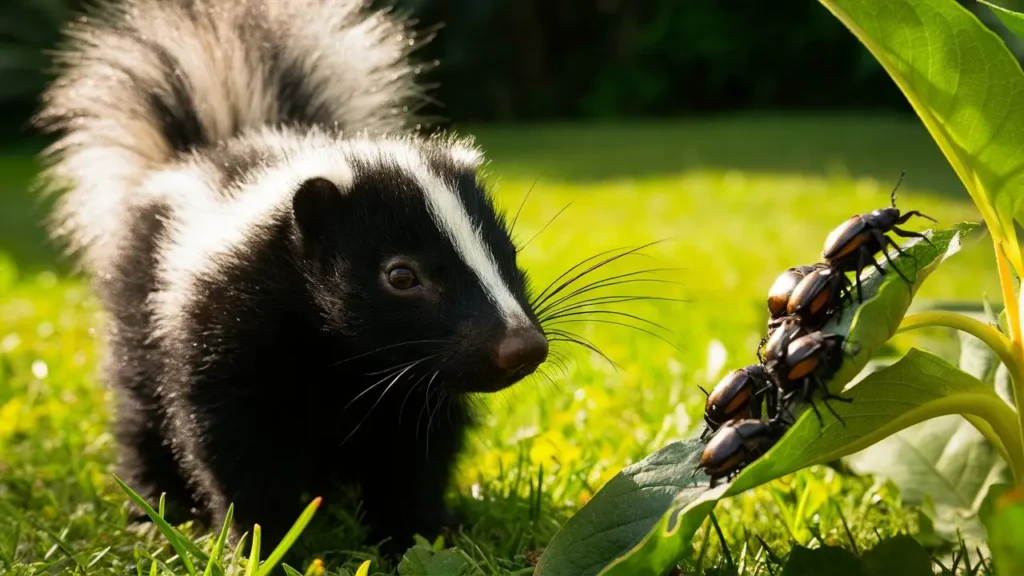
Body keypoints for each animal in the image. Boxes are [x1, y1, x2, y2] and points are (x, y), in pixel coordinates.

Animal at [34, 0, 552, 553]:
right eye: (401, 275)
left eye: (509, 254)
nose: (521, 346)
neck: (349, 361)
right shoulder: (224, 331)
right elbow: (235, 448)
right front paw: (263, 544)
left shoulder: (412, 380)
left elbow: (415, 452)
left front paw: (416, 535)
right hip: (140, 310)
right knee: (140, 415)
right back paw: (154, 508)